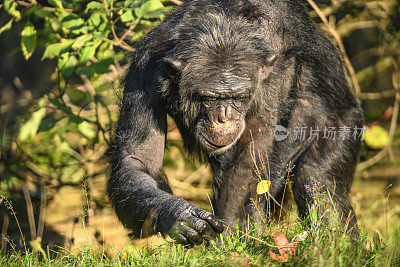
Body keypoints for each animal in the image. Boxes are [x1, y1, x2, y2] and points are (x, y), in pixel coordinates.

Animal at [108, 0, 364, 247]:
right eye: (209, 98)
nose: (224, 117)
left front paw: (230, 242)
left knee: (317, 182)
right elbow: (138, 159)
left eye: (239, 97)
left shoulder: (275, 71)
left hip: (346, 122)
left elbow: (249, 158)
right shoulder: (145, 69)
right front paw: (178, 215)